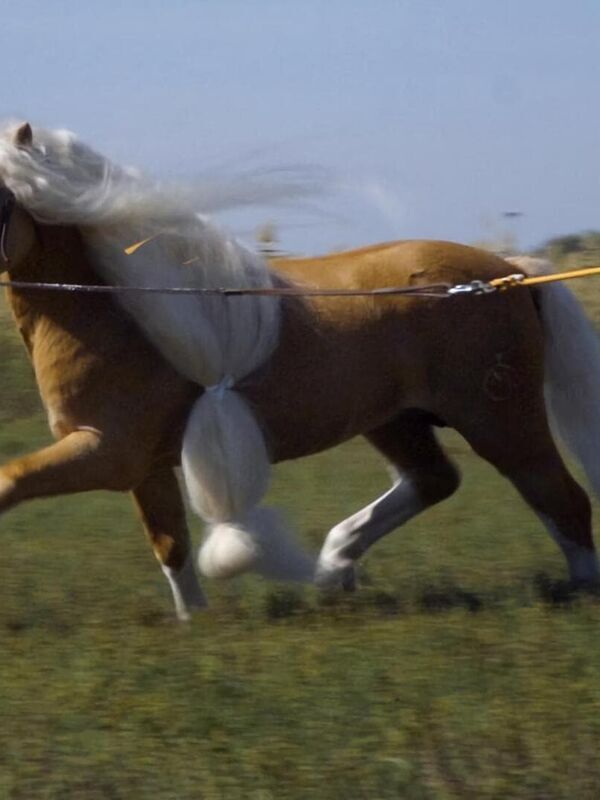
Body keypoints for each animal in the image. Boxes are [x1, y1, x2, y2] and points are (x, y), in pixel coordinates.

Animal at [1, 121, 599, 621]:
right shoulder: (142, 465)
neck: (120, 311)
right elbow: (170, 544)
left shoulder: (107, 452)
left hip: (501, 420)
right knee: (435, 479)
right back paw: (332, 567)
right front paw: (195, 624)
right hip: (395, 421)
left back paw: (580, 594)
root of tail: (506, 273)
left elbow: (13, 479)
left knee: (561, 497)